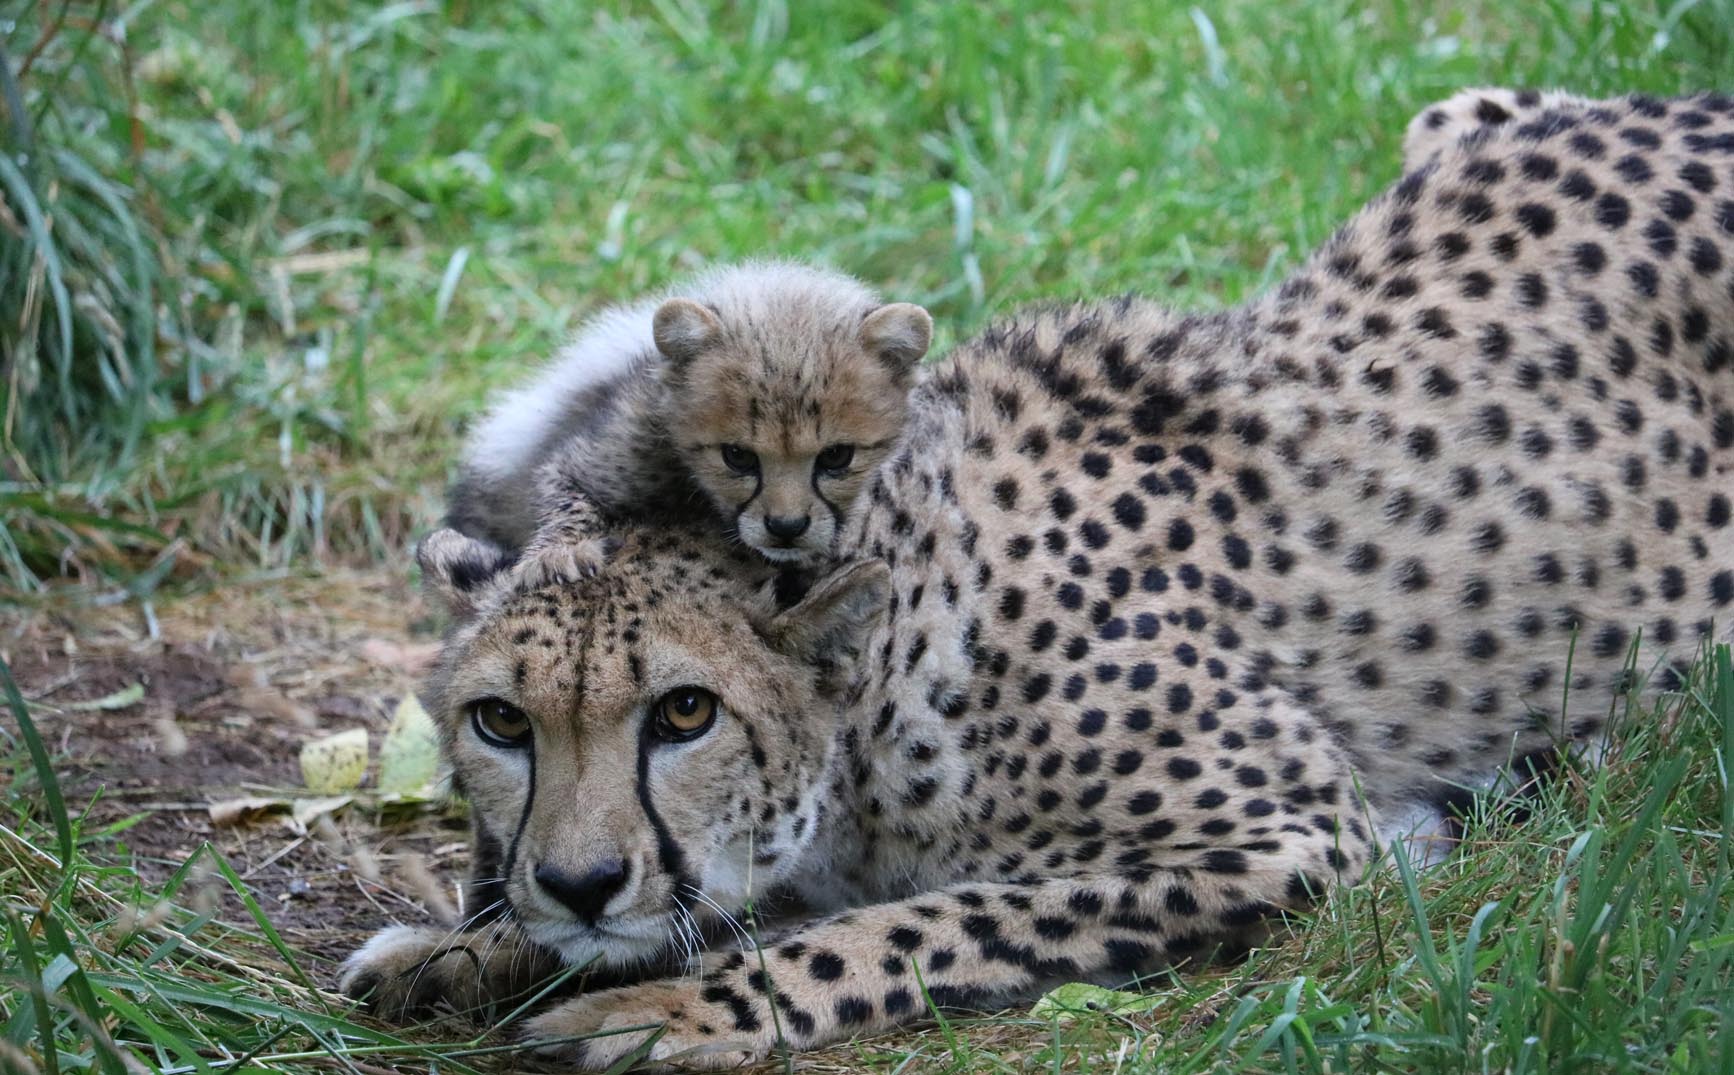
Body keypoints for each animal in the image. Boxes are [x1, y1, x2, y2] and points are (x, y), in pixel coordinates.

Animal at [448, 260, 933, 581]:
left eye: (836, 457)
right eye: (737, 457)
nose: (786, 528)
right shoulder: (620, 442)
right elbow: (567, 490)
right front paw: (558, 553)